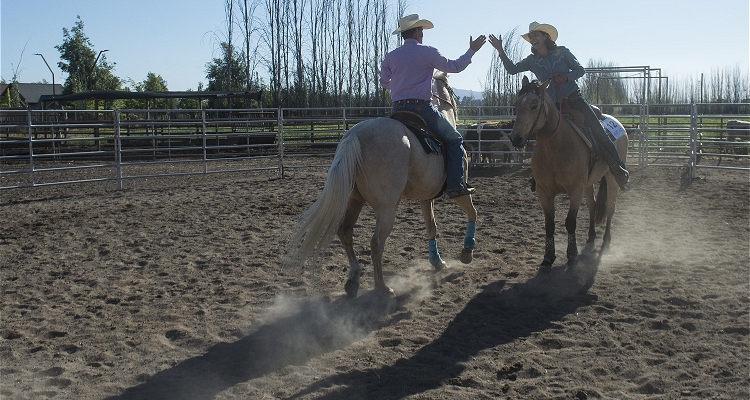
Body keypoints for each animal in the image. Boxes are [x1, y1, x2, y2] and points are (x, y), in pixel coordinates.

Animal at [284, 71, 478, 296]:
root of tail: (355, 136)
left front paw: (437, 262)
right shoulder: (459, 190)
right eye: (452, 90)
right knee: (376, 243)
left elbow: (432, 227)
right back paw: (382, 288)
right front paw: (467, 252)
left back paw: (353, 279)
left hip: (355, 199)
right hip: (387, 208)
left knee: (345, 231)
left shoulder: (426, 197)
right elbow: (472, 213)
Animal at [512, 77, 628, 272]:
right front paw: (548, 256)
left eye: (534, 105)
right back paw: (590, 238)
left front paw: (572, 255)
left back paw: (606, 242)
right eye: (515, 105)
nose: (516, 139)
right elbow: (549, 224)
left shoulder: (575, 190)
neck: (556, 148)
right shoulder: (544, 192)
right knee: (593, 205)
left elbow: (570, 222)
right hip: (588, 183)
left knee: (610, 206)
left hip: (611, 178)